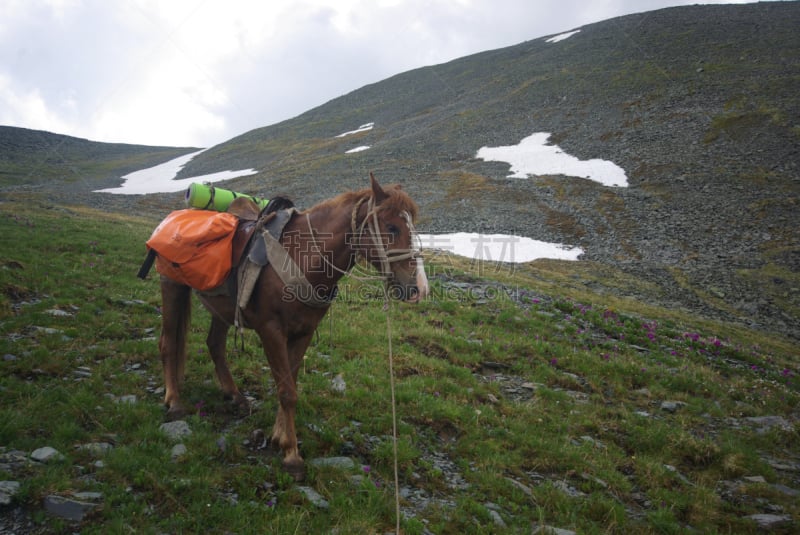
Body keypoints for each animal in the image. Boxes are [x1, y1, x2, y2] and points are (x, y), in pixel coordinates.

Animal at [159, 174, 428, 480]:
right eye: (392, 227)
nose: (419, 288)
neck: (304, 257)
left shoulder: (303, 333)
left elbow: (290, 382)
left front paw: (279, 436)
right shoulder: (271, 331)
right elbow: (287, 391)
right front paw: (291, 455)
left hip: (222, 308)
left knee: (215, 344)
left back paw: (235, 395)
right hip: (172, 286)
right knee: (168, 343)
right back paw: (174, 401)